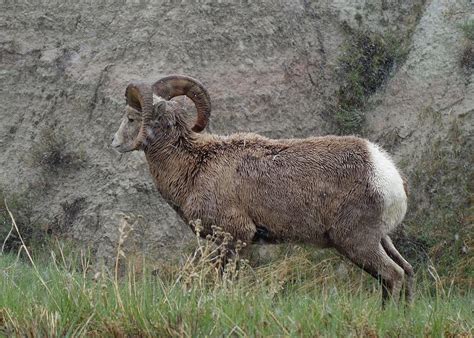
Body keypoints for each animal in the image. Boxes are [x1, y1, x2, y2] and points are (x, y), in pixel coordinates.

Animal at [113, 74, 412, 304]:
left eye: (131, 118)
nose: (114, 142)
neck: (195, 165)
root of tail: (387, 174)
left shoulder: (235, 236)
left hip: (356, 241)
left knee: (393, 275)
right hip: (381, 239)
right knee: (406, 271)